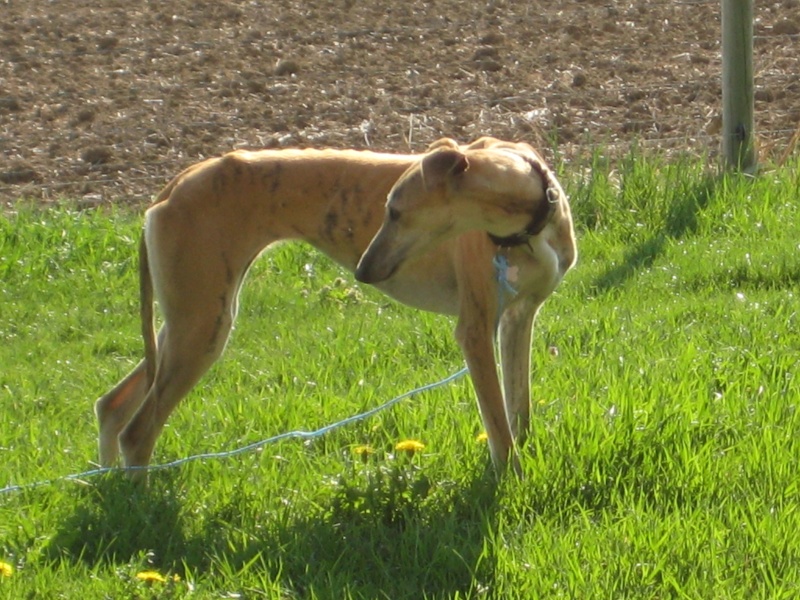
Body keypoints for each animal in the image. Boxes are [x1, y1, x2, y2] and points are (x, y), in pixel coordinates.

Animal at [95, 135, 576, 478]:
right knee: (138, 432)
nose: (362, 272)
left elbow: (518, 411)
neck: (527, 224)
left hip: (188, 320)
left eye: (395, 211)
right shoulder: (475, 330)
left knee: (113, 405)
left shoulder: (518, 317)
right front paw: (511, 483)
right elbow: (499, 429)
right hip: (203, 325)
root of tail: (177, 182)